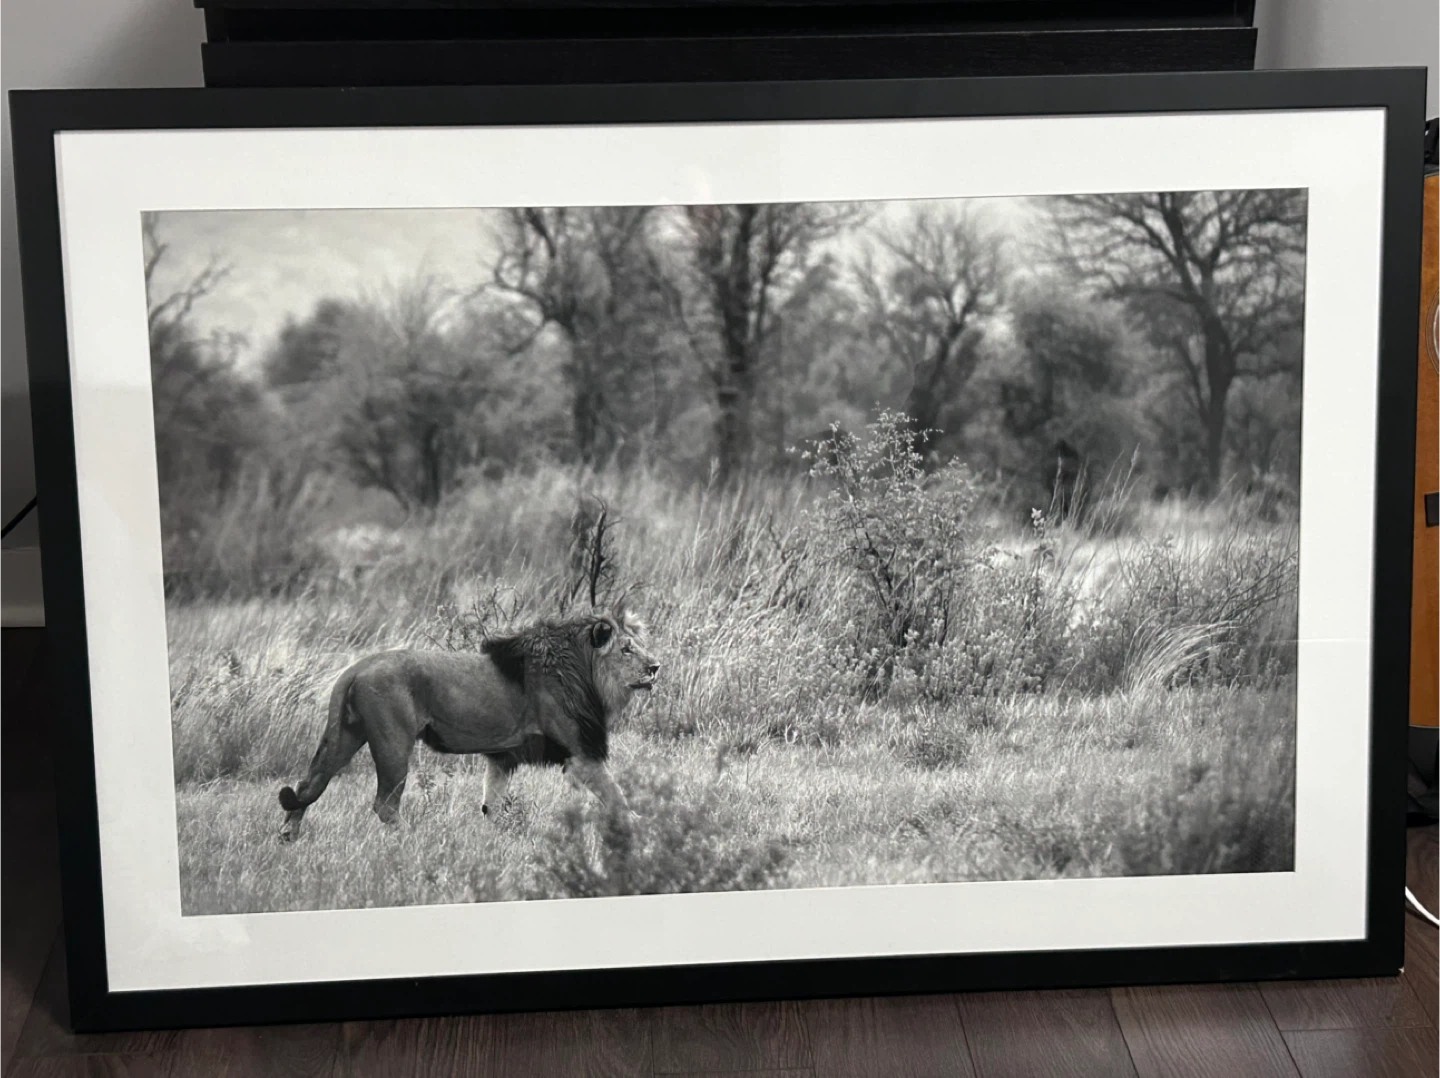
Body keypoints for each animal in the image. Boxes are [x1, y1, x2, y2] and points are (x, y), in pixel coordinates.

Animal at [277, 606, 658, 841]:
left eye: (640, 646)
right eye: (626, 650)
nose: (656, 667)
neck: (587, 673)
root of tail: (357, 667)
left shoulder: (503, 757)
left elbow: (492, 806)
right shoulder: (580, 753)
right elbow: (618, 799)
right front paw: (643, 833)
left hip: (345, 734)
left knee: (308, 784)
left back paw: (288, 836)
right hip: (393, 742)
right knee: (384, 804)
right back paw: (414, 840)